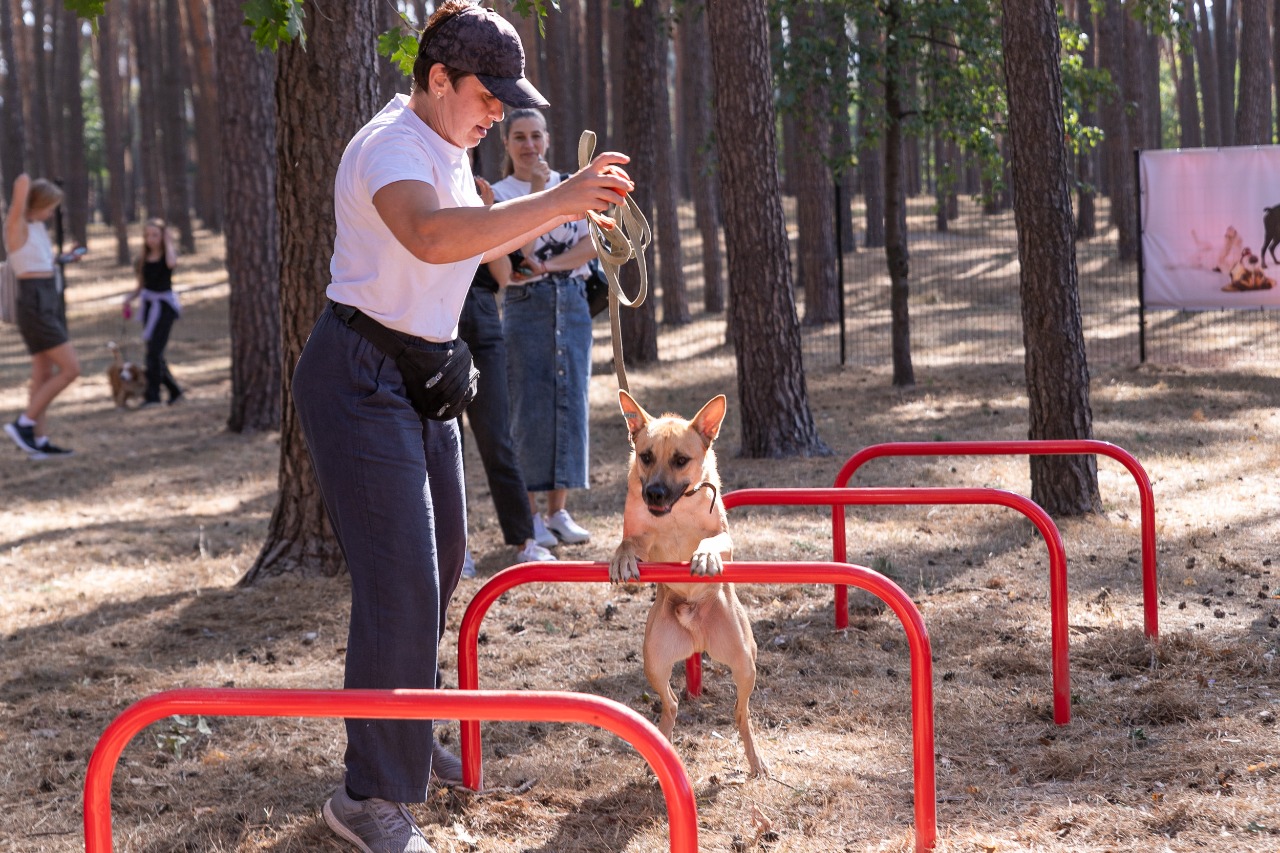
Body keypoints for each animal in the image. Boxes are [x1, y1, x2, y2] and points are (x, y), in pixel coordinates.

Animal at [611, 389, 762, 773]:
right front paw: (621, 558)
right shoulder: (642, 538)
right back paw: (659, 751)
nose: (654, 493)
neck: (676, 511)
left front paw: (704, 557)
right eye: (646, 457)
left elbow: (711, 542)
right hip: (654, 661)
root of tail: (697, 634)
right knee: (672, 703)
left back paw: (755, 760)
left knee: (741, 712)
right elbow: (628, 543)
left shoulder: (725, 537)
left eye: (680, 460)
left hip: (744, 663)